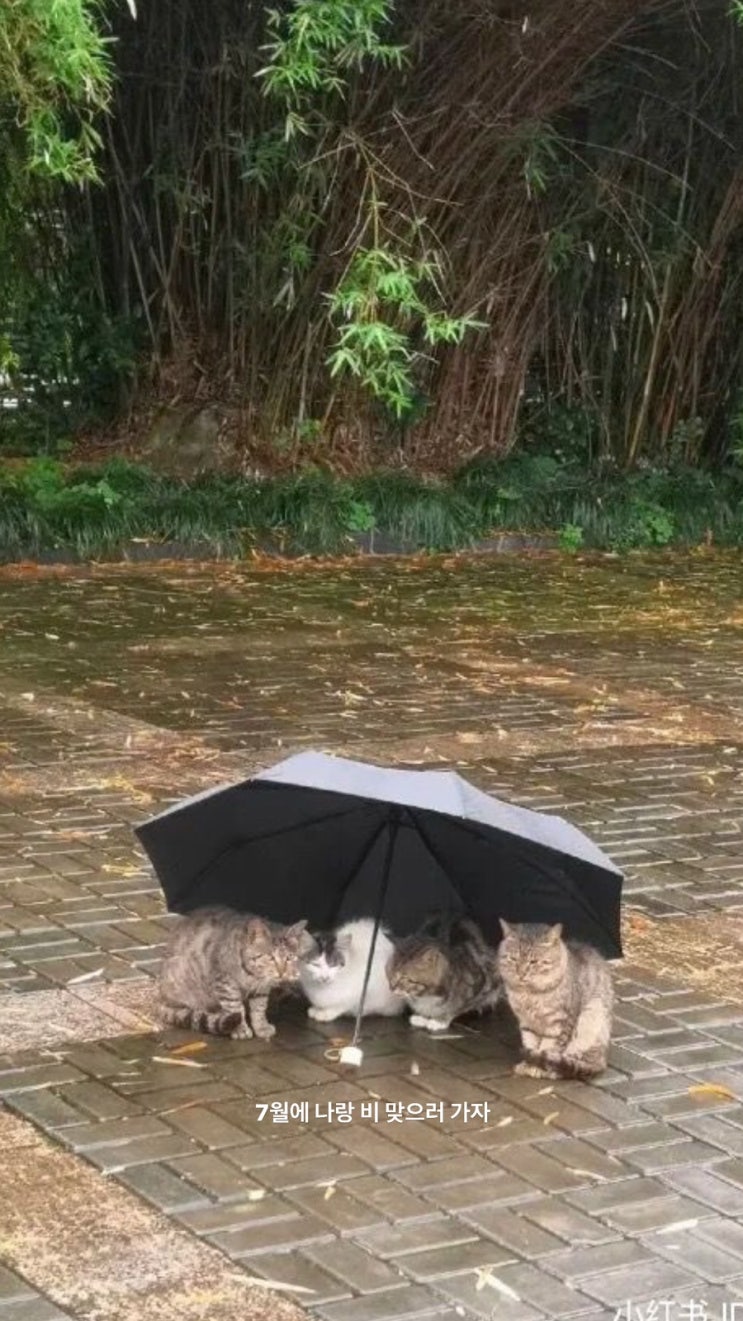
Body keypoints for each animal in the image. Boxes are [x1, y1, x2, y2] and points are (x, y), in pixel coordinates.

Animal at [158, 906, 312, 1040]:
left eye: (289, 958)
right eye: (270, 957)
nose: (281, 972)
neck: (251, 974)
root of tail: (160, 997)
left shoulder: (261, 987)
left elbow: (259, 1007)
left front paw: (261, 1026)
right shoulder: (225, 983)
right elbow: (235, 1008)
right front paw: (240, 1029)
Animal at [496, 919, 614, 1080]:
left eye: (533, 962)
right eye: (513, 959)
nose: (521, 974)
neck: (530, 994)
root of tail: (603, 1060)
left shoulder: (559, 1024)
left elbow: (548, 1048)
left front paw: (538, 1067)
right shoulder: (526, 1022)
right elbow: (530, 1043)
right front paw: (529, 1063)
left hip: (591, 1019)